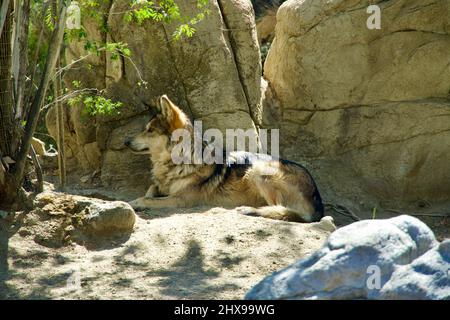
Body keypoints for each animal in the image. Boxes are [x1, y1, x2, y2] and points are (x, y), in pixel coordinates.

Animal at [123, 95, 324, 222]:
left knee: (281, 210)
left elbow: (146, 199)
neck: (176, 162)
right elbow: (151, 189)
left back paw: (250, 210)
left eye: (150, 130)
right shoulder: (162, 187)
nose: (125, 141)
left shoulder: (182, 199)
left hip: (258, 171)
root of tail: (319, 204)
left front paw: (133, 203)